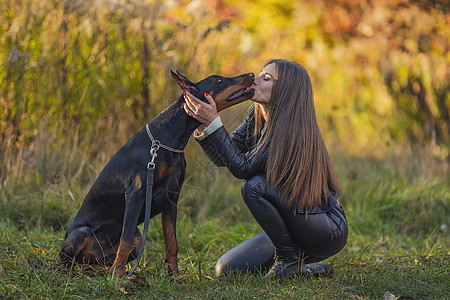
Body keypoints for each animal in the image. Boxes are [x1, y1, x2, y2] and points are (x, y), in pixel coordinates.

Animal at [60, 69, 255, 276]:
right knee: (67, 261)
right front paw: (116, 277)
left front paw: (175, 277)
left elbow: (172, 243)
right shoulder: (136, 193)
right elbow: (125, 240)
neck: (169, 140)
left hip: (134, 240)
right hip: (79, 235)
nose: (251, 74)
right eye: (219, 80)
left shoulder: (171, 198)